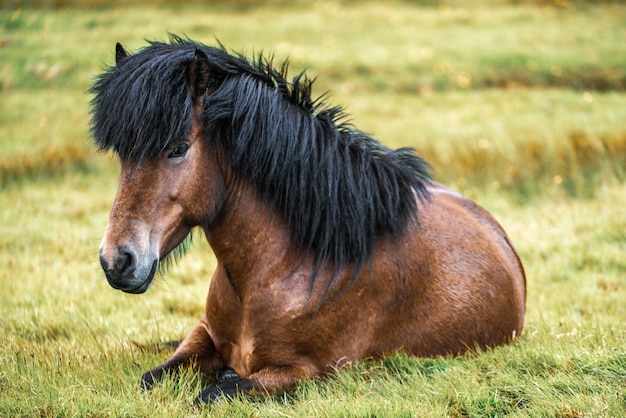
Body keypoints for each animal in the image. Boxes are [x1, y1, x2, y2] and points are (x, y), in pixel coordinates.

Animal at [90, 36, 524, 404]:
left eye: (178, 148)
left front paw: (222, 379)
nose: (116, 260)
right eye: (123, 154)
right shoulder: (203, 332)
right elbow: (152, 377)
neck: (278, 267)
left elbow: (214, 394)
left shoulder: (310, 372)